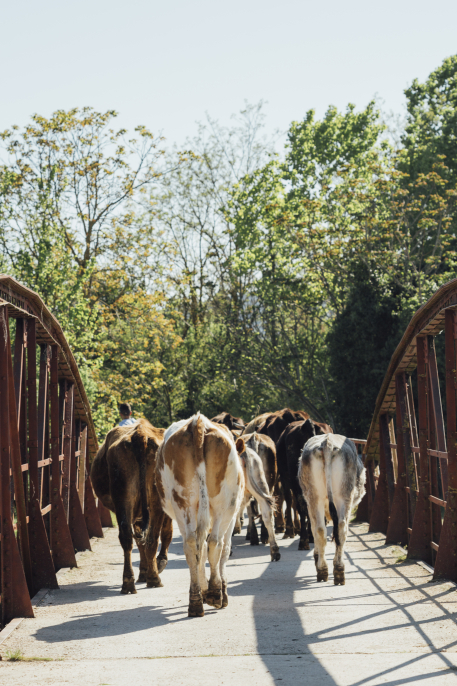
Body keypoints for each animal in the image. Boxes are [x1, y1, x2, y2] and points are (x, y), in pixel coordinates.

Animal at [91, 420, 173, 596]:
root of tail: (140, 433)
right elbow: (163, 534)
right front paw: (154, 566)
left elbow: (139, 540)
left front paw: (144, 571)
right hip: (153, 501)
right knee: (152, 537)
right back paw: (153, 578)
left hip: (124, 498)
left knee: (129, 537)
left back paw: (129, 582)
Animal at [155, 414, 244, 620]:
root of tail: (198, 423)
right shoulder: (232, 516)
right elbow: (224, 550)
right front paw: (220, 591)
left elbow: (199, 552)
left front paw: (204, 589)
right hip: (224, 504)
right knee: (215, 543)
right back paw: (215, 594)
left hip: (183, 503)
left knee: (191, 544)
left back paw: (196, 601)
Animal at [298, 436, 366, 584]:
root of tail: (327, 441)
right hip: (343, 496)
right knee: (339, 528)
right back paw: (334, 570)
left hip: (316, 496)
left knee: (322, 530)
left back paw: (327, 570)